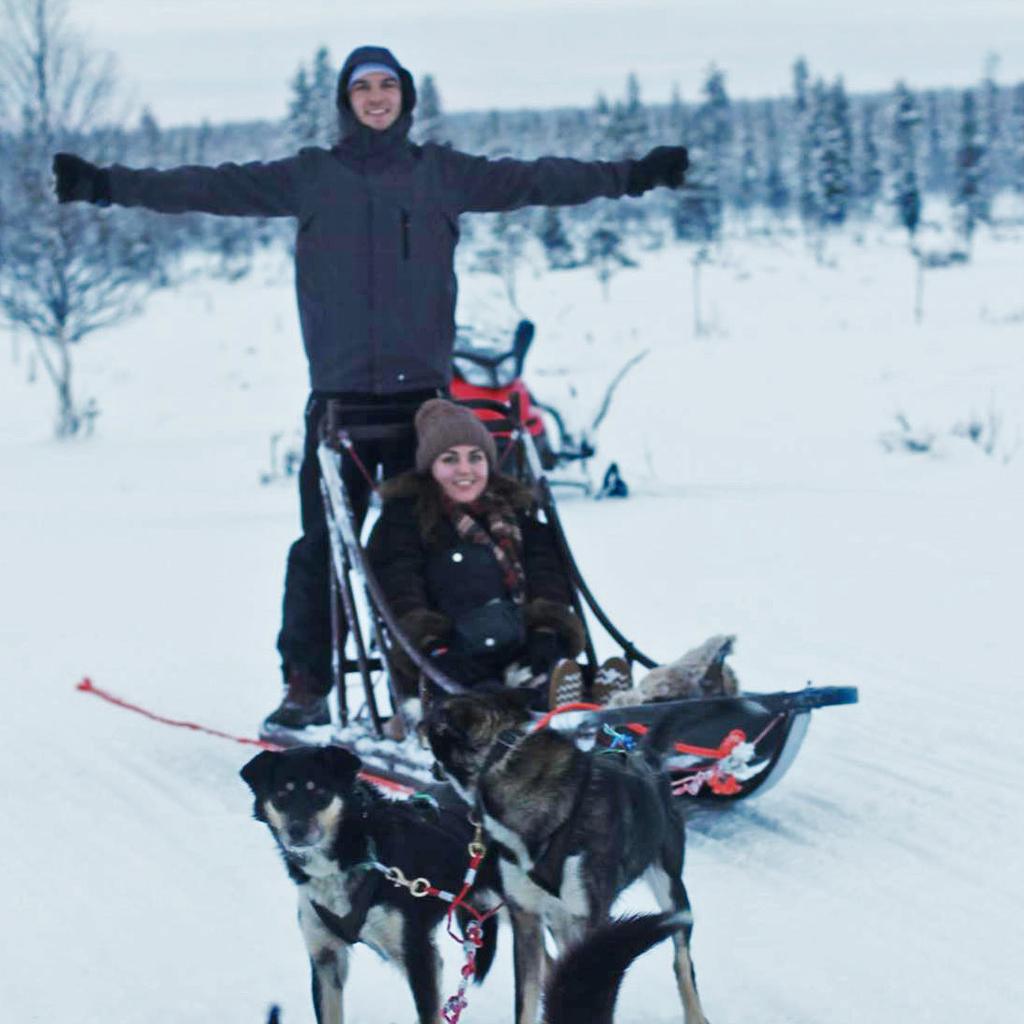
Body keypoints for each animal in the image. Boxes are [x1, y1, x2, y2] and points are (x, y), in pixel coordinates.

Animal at [242, 745, 503, 1024]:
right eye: (281, 795)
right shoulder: (325, 958)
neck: (359, 853)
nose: (296, 831)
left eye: (320, 792)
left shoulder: (419, 958)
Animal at [423, 688, 712, 1024]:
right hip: (559, 919)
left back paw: (695, 1014)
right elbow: (527, 1000)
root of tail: (645, 757)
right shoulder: (527, 919)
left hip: (671, 889)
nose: (429, 768)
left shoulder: (593, 921)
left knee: (682, 961)